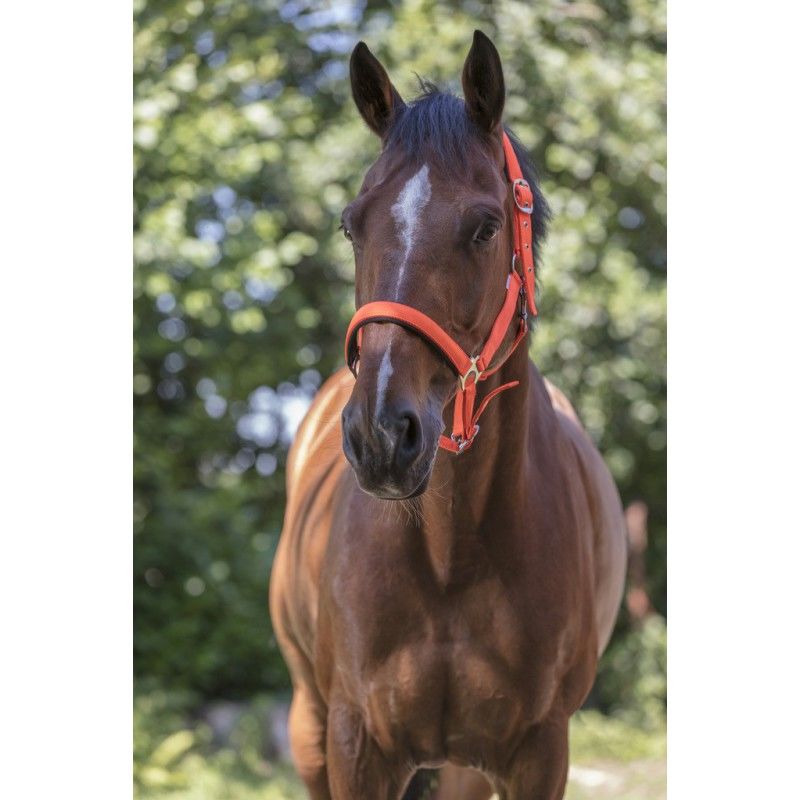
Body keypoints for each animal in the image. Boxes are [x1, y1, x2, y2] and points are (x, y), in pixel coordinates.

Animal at [269, 30, 627, 800]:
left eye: (486, 227)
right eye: (352, 225)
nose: (380, 435)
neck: (450, 557)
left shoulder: (538, 752)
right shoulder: (354, 743)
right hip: (309, 725)